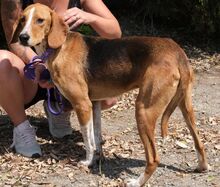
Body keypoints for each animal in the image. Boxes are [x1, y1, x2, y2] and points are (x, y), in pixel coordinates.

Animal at [12, 3, 209, 187]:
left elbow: (88, 139)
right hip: (185, 107)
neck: (59, 46)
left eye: (40, 20)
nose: (23, 37)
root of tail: (177, 51)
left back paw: (137, 182)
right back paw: (202, 167)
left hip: (143, 111)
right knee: (199, 142)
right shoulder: (95, 103)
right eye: (22, 19)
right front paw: (98, 157)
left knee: (153, 158)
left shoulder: (82, 104)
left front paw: (88, 162)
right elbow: (96, 136)